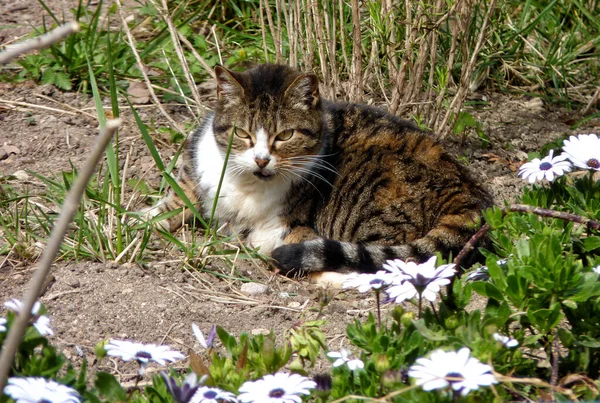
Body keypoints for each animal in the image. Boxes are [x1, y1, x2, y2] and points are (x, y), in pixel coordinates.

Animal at [145, 64, 492, 282]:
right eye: (242, 134)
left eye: (285, 136)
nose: (261, 161)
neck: (245, 184)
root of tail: (467, 191)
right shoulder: (193, 183)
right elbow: (164, 208)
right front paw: (137, 222)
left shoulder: (291, 229)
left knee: (381, 264)